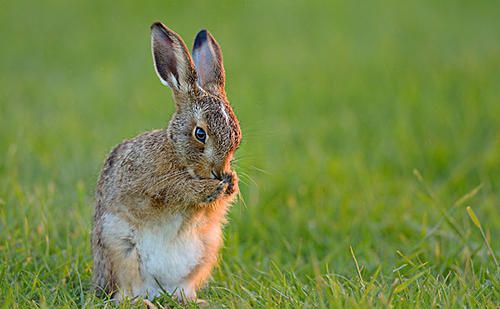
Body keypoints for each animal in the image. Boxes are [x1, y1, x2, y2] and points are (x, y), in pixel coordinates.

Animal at [93, 21, 243, 300]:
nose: (219, 172)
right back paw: (144, 303)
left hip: (205, 251)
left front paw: (231, 183)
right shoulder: (149, 185)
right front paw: (210, 188)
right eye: (200, 134)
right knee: (124, 295)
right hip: (119, 251)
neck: (178, 153)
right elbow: (175, 191)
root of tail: (155, 290)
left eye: (236, 138)